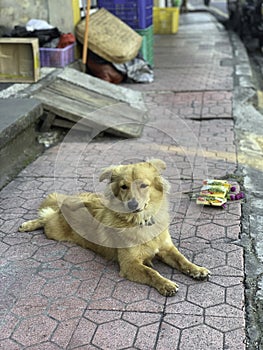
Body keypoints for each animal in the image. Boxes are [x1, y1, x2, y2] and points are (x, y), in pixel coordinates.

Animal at [19, 160, 210, 296]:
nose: (132, 204)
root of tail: (66, 202)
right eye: (124, 187)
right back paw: (27, 225)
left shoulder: (167, 248)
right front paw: (166, 284)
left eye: (143, 185)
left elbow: (182, 259)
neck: (140, 222)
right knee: (45, 217)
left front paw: (197, 270)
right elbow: (151, 272)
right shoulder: (129, 264)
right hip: (54, 230)